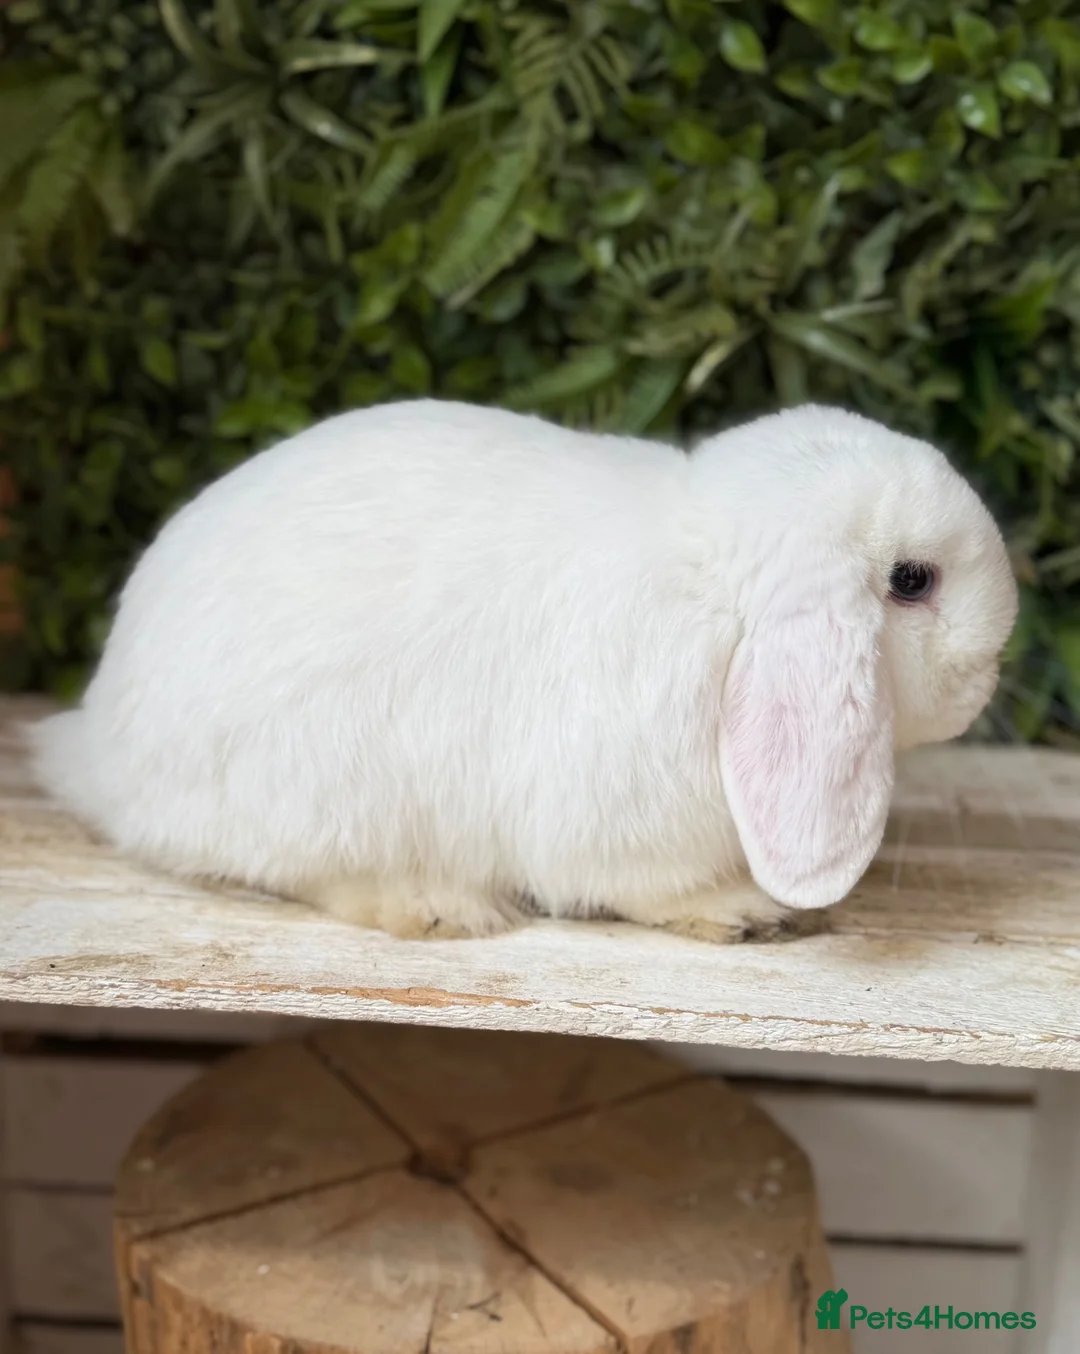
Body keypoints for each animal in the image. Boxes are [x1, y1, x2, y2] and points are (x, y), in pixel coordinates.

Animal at [28, 398, 1018, 943]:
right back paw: (435, 906)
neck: (716, 595)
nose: (991, 665)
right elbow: (645, 885)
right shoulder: (616, 816)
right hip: (309, 794)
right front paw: (744, 911)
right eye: (913, 581)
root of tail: (99, 743)